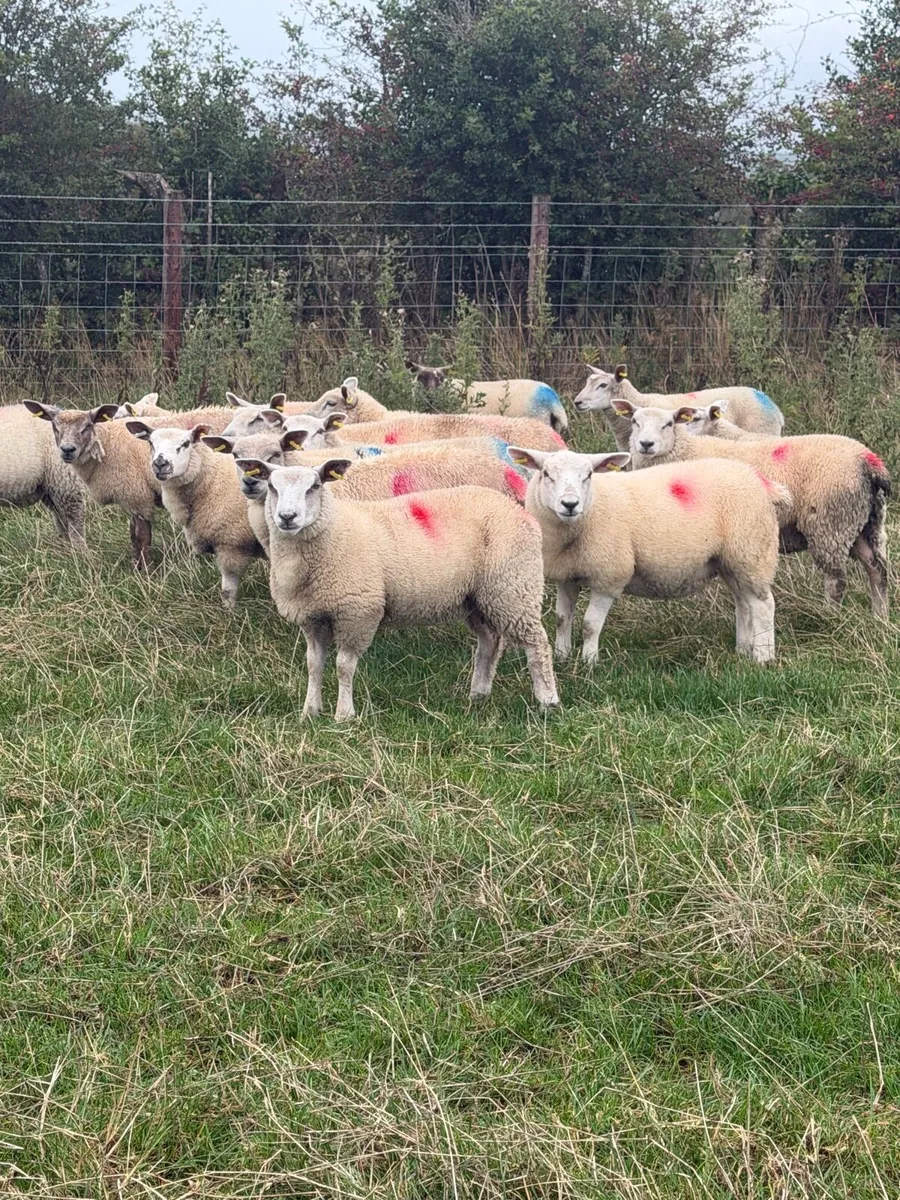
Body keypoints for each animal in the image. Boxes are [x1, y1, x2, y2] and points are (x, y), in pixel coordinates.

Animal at [0, 404, 87, 544]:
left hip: (64, 480)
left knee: (75, 518)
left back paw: (78, 548)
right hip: (49, 486)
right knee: (61, 518)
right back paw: (65, 546)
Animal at [126, 421, 264, 608]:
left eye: (186, 443)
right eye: (151, 443)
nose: (160, 463)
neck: (211, 480)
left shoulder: (231, 542)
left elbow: (228, 590)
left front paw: (229, 613)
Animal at [256, 465, 559, 719]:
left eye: (314, 486)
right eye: (271, 486)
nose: (287, 517)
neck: (334, 530)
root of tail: (519, 510)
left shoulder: (357, 613)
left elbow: (344, 666)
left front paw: (344, 715)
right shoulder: (313, 618)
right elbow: (313, 665)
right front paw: (309, 712)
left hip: (513, 586)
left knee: (538, 644)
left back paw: (548, 700)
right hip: (479, 596)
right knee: (489, 641)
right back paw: (478, 694)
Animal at [508, 447, 787, 664]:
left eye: (588, 475)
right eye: (546, 474)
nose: (570, 504)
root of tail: (759, 479)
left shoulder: (610, 576)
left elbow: (590, 625)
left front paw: (589, 662)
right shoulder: (567, 575)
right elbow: (562, 619)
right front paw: (562, 656)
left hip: (751, 551)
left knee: (763, 606)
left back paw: (763, 657)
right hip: (731, 561)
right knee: (744, 604)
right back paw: (743, 650)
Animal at [615, 399, 891, 616]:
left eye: (669, 424)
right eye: (635, 421)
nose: (646, 444)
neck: (686, 449)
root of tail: (869, 461)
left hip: (830, 523)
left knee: (837, 580)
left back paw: (830, 616)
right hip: (867, 521)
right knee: (878, 569)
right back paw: (880, 617)